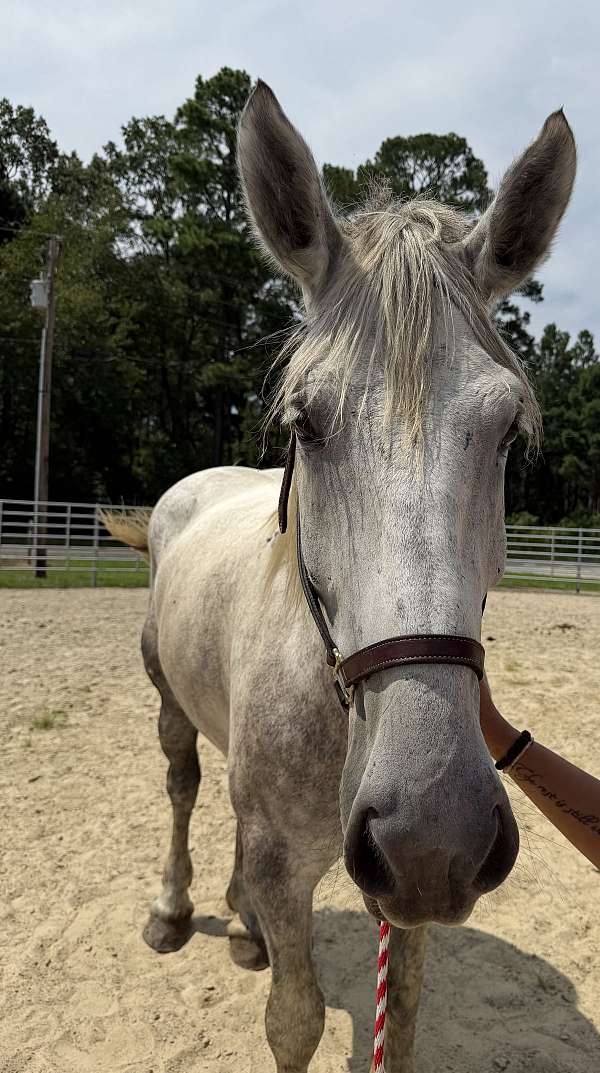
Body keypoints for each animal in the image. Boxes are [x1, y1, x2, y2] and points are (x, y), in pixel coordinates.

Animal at [105, 83, 575, 1072]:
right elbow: (294, 1020)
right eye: (304, 422)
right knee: (182, 785)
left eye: (508, 431)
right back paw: (175, 910)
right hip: (167, 697)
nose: (434, 828)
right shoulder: (291, 865)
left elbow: (404, 1021)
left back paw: (240, 923)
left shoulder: (404, 893)